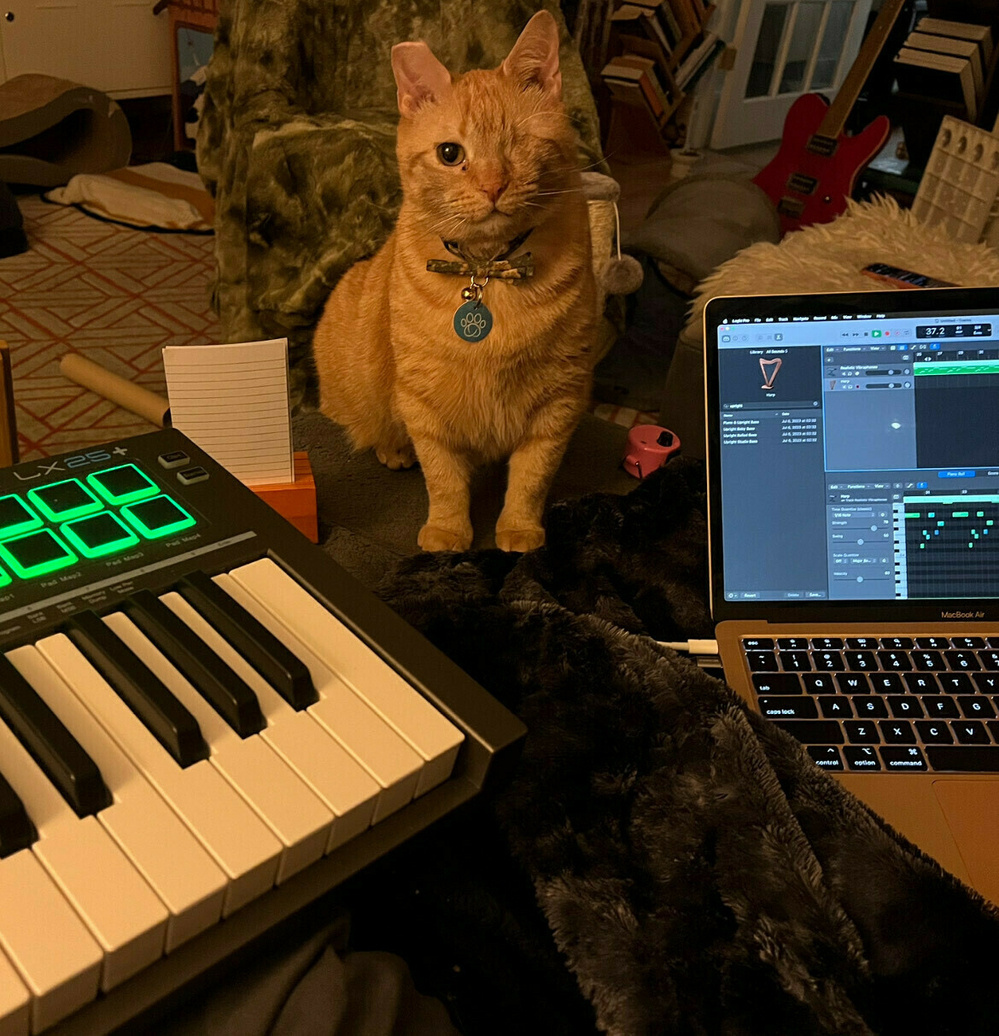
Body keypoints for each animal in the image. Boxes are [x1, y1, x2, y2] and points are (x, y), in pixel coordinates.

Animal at [315, 12, 592, 555]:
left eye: (518, 145)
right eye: (450, 153)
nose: (492, 186)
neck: (485, 270)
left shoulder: (559, 400)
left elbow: (531, 478)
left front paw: (520, 530)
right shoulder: (423, 401)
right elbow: (442, 478)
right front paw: (447, 532)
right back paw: (393, 449)